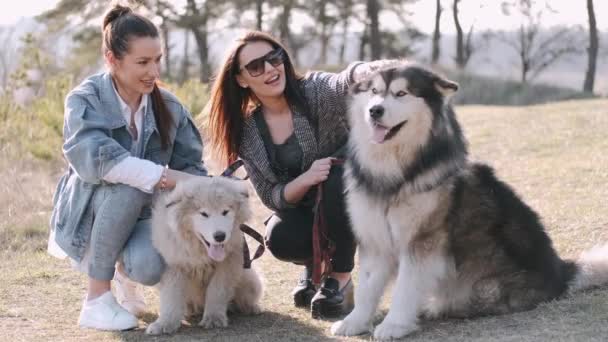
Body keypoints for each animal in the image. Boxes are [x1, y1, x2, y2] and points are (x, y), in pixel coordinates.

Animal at [147, 175, 264, 336]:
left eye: (225, 212)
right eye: (204, 214)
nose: (220, 236)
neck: (200, 250)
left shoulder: (227, 265)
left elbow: (217, 291)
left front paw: (214, 319)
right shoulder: (174, 265)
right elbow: (171, 297)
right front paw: (165, 323)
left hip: (249, 278)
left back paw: (249, 308)